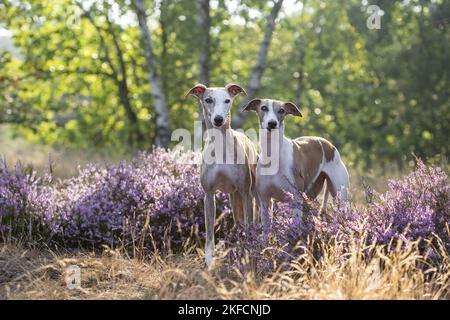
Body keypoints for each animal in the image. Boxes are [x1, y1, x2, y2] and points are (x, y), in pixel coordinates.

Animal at [185, 84, 256, 266]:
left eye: (227, 100)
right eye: (208, 100)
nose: (218, 119)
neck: (220, 147)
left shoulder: (245, 193)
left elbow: (250, 225)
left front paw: (250, 253)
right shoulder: (209, 195)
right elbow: (210, 232)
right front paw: (209, 260)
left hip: (250, 196)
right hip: (234, 198)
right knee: (239, 223)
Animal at [243, 99, 352, 231]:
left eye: (281, 110)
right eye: (263, 108)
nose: (272, 124)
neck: (274, 154)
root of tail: (330, 145)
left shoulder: (296, 198)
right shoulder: (265, 202)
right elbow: (266, 231)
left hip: (339, 197)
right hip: (310, 195)